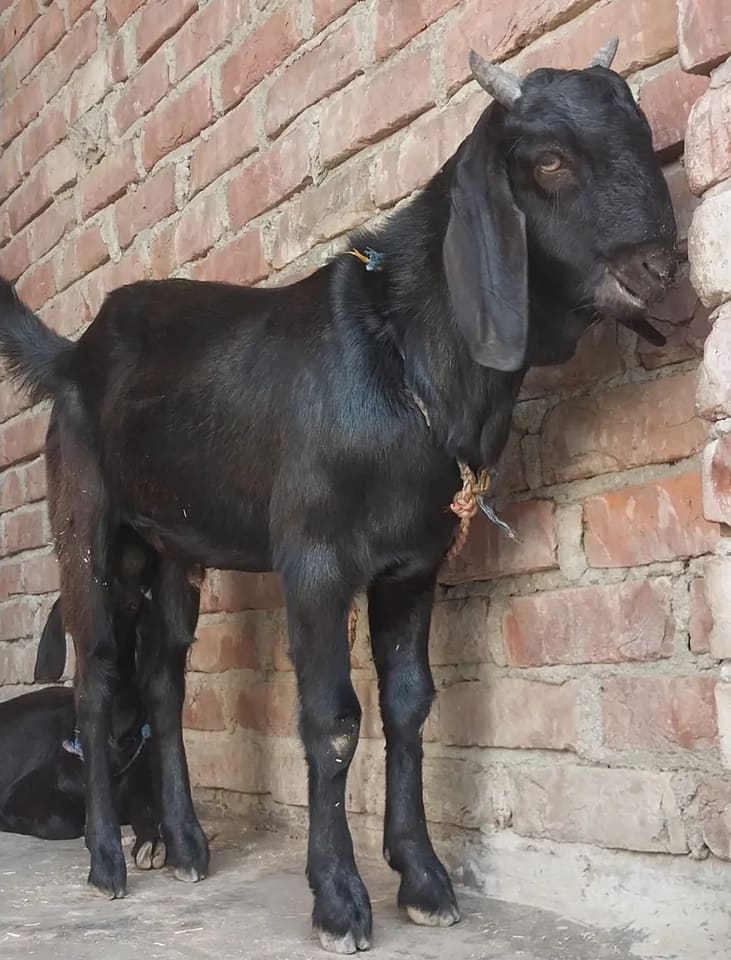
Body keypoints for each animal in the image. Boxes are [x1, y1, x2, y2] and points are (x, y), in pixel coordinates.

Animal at [0, 526, 199, 870]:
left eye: (132, 607)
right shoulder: (19, 794)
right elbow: (65, 820)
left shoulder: (145, 791)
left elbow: (148, 813)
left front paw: (152, 841)